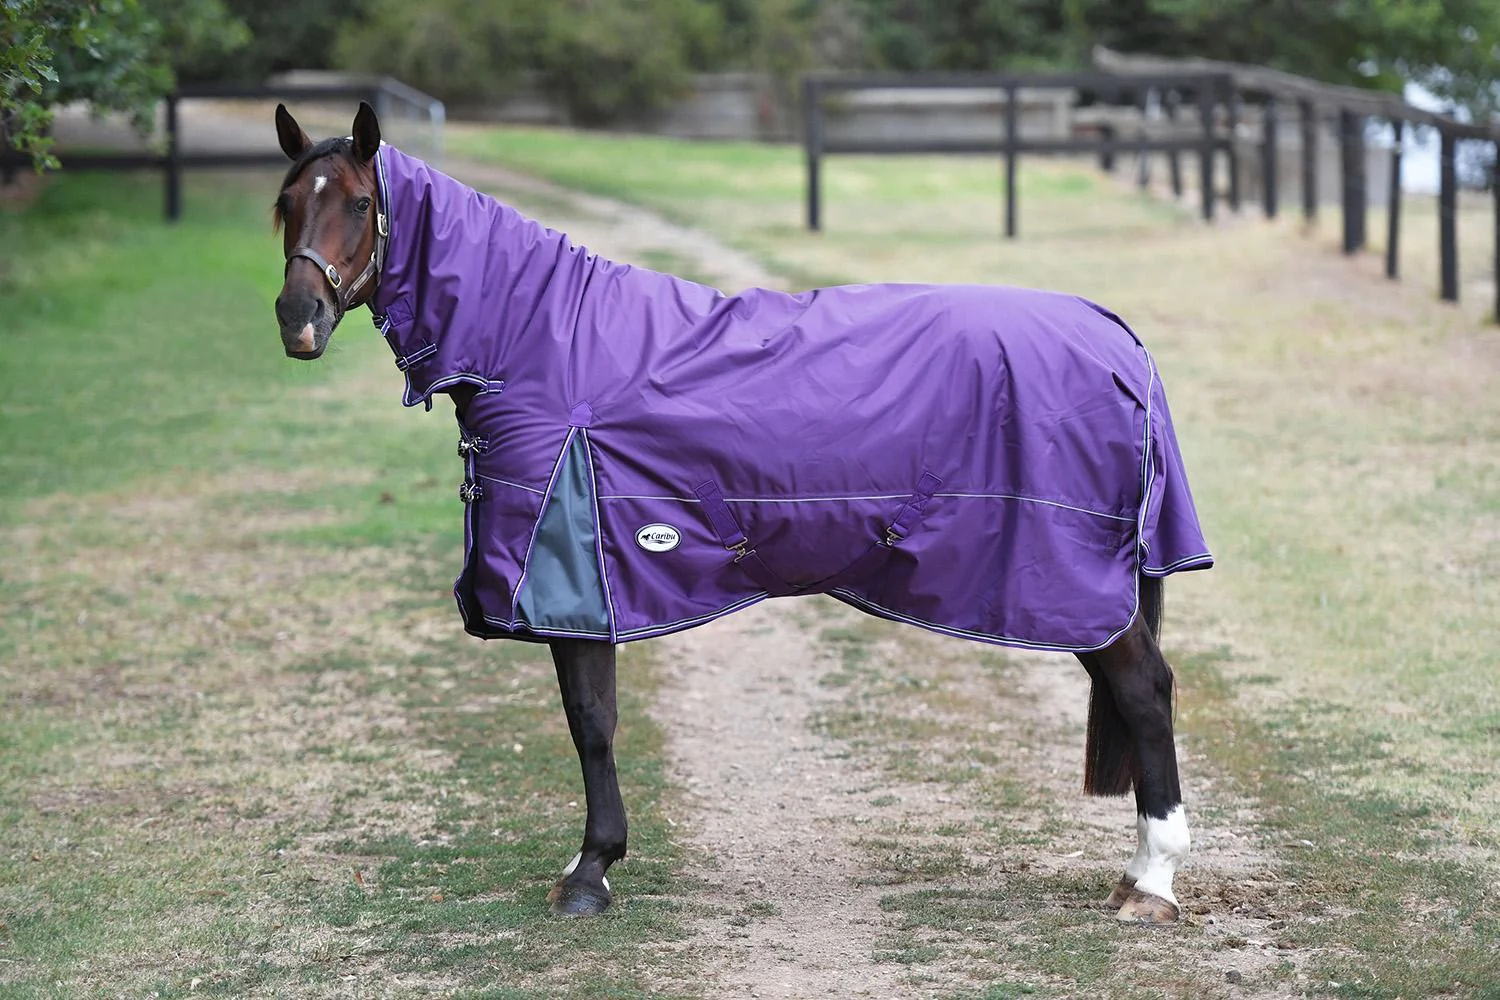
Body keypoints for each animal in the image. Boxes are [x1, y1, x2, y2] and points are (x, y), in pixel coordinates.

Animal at [270, 101, 1213, 925]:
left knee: (1145, 690)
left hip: (1078, 589)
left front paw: (591, 872)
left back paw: (1152, 882)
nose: (296, 318)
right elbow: (591, 722)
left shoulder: (578, 584)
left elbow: (591, 725)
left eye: (360, 204)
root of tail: (1118, 338)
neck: (542, 343)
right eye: (285, 205)